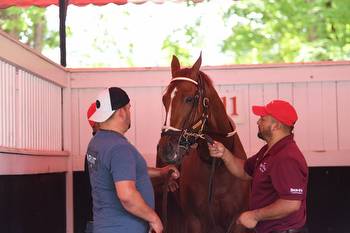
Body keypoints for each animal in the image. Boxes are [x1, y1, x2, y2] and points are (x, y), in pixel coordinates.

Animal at [157, 55, 252, 233]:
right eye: (164, 99)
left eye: (189, 99)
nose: (166, 149)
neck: (218, 167)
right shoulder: (195, 221)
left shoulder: (236, 222)